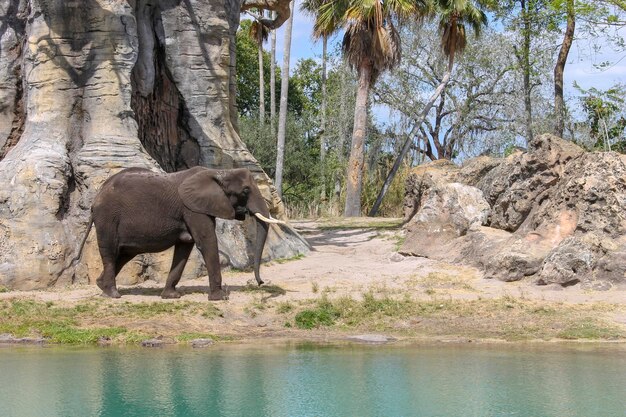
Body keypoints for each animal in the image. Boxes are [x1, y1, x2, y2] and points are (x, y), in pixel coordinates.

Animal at [88, 165, 282, 300]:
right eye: (246, 191)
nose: (260, 283)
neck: (220, 172)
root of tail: (97, 196)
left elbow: (184, 246)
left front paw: (170, 296)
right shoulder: (193, 209)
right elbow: (207, 242)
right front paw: (220, 298)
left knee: (124, 253)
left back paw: (101, 286)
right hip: (107, 217)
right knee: (109, 251)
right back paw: (113, 294)